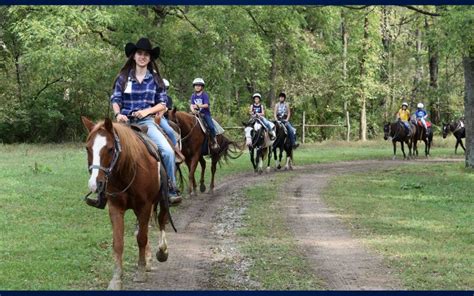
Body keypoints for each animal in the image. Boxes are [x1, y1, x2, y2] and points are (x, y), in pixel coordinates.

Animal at [81, 117, 174, 290]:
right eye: (87, 148)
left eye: (110, 149)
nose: (94, 184)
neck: (127, 171)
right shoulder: (115, 208)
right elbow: (118, 242)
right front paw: (116, 279)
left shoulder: (144, 206)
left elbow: (142, 238)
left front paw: (141, 271)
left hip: (160, 200)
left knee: (161, 220)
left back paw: (162, 251)